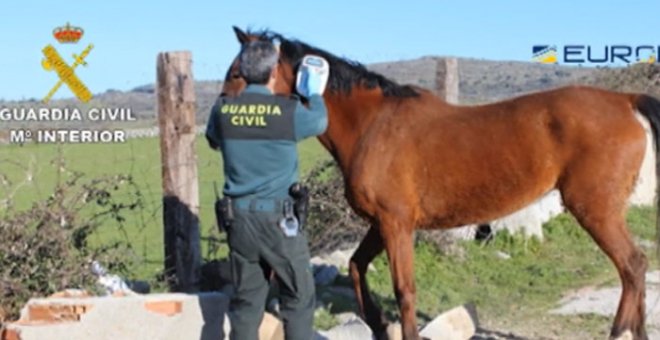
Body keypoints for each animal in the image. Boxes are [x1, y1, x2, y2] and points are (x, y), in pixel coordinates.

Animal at [223, 27, 660, 340]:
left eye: (237, 73)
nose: (220, 124)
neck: (373, 124)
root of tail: (625, 100)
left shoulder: (396, 224)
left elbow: (404, 290)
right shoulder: (383, 224)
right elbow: (356, 266)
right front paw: (378, 324)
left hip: (595, 209)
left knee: (632, 266)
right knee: (635, 269)